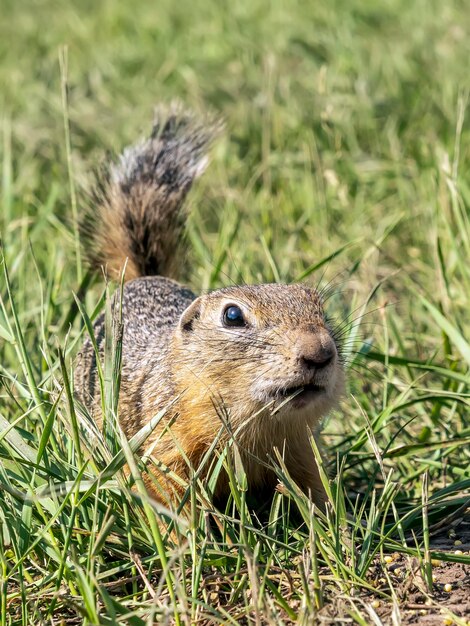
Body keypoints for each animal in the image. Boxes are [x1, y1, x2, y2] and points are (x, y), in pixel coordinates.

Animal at [74, 106, 346, 512]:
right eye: (232, 316)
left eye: (320, 308)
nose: (320, 352)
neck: (258, 428)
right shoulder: (162, 454)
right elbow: (171, 502)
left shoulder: (300, 451)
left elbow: (314, 494)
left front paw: (339, 524)